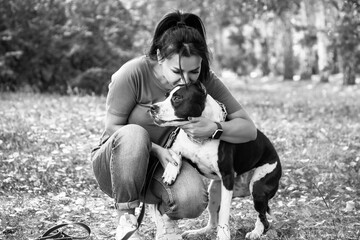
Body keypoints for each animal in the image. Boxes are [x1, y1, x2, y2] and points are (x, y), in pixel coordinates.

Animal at [148, 82, 282, 240]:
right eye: (166, 96)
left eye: (177, 98)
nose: (152, 107)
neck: (199, 139)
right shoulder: (178, 146)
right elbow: (175, 153)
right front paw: (170, 171)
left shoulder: (227, 177)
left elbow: (224, 212)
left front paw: (223, 235)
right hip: (214, 192)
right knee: (212, 221)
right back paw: (197, 232)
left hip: (258, 189)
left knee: (263, 217)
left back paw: (256, 232)